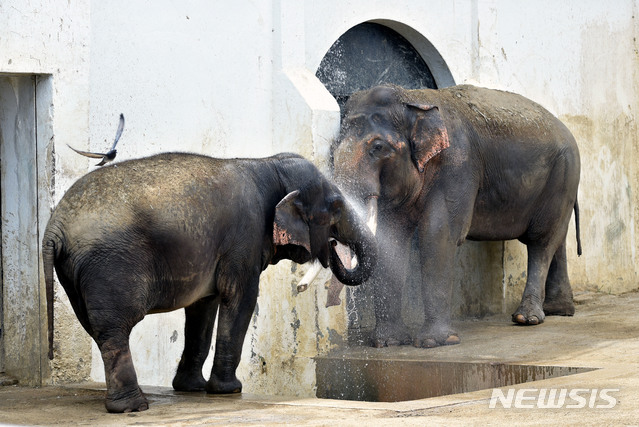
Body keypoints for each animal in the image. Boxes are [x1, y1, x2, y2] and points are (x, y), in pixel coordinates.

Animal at [42, 152, 378, 412]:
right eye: (336, 206)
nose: (331, 246)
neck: (267, 164)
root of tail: (55, 226)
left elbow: (203, 307)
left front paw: (191, 388)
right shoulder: (244, 239)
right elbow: (241, 299)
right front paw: (229, 390)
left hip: (75, 273)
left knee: (98, 328)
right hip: (109, 265)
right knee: (114, 329)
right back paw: (132, 407)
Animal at [332, 84, 584, 352]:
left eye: (378, 148)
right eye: (333, 148)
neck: (414, 98)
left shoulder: (457, 166)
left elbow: (439, 234)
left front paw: (434, 343)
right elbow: (392, 237)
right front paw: (388, 343)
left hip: (564, 173)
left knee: (541, 241)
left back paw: (527, 318)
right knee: (558, 238)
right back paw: (559, 310)